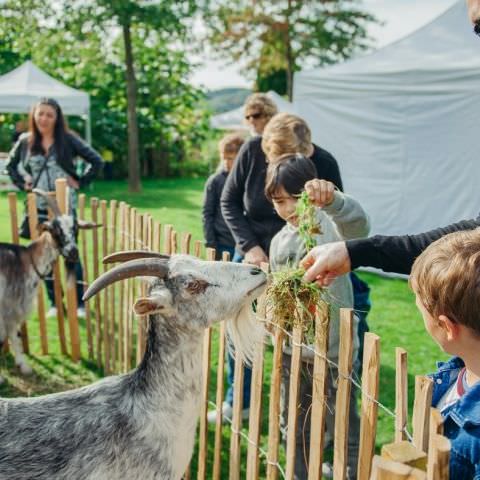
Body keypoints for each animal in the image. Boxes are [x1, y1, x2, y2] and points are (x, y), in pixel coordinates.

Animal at [0, 189, 93, 376]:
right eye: (56, 229)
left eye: (76, 228)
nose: (73, 252)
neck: (28, 260)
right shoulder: (9, 305)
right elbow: (12, 334)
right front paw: (22, 366)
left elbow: (12, 334)